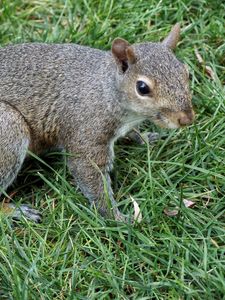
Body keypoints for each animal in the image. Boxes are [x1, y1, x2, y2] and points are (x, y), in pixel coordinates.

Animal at [0, 23, 193, 223]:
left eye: (188, 74)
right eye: (142, 88)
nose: (187, 118)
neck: (106, 89)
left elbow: (133, 132)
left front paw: (146, 138)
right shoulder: (88, 131)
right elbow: (90, 173)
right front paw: (118, 218)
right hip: (9, 129)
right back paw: (15, 212)